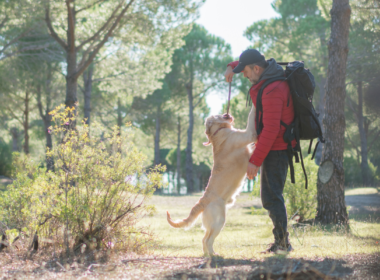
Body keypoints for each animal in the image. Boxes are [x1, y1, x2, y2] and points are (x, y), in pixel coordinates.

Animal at [167, 105, 258, 256]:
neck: (218, 132)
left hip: (213, 224)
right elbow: (251, 117)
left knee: (204, 239)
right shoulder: (248, 134)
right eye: (217, 114)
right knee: (208, 240)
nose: (225, 111)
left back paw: (208, 254)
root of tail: (202, 201)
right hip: (219, 221)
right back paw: (213, 255)